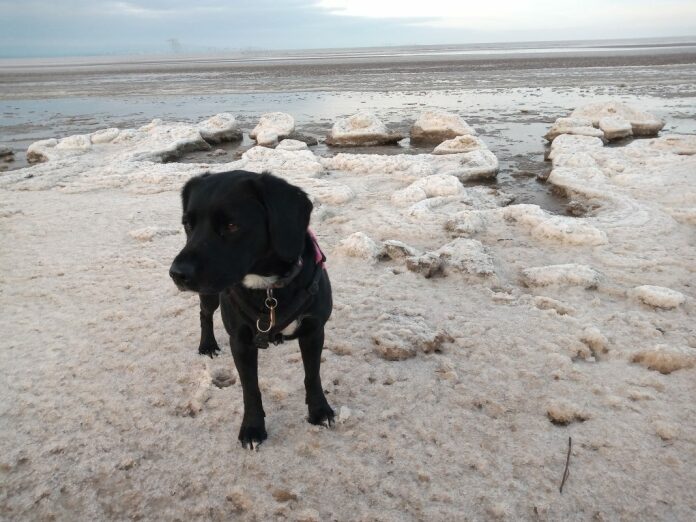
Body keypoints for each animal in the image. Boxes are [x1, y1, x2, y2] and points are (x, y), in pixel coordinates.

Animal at [167, 171, 334, 446]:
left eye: (232, 225)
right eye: (187, 224)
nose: (177, 274)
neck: (268, 289)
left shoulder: (313, 330)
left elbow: (313, 375)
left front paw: (319, 411)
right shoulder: (240, 340)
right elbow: (250, 388)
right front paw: (253, 428)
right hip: (210, 295)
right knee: (205, 314)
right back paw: (208, 345)